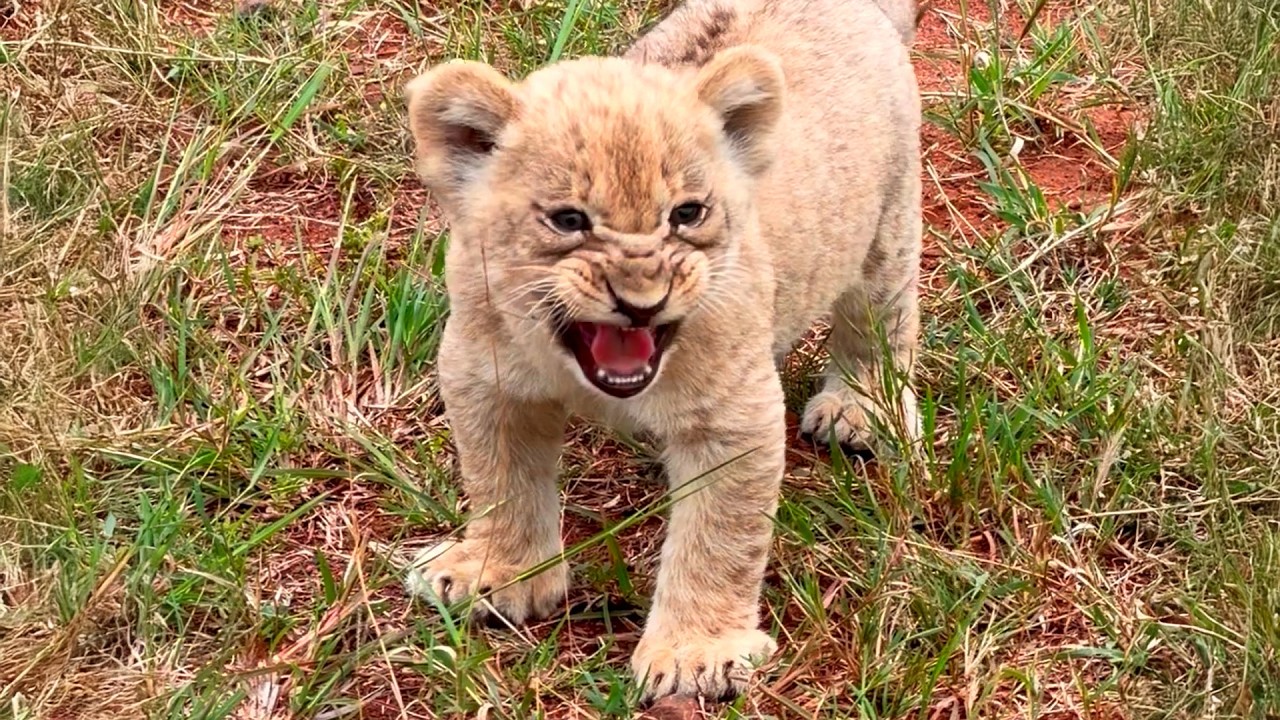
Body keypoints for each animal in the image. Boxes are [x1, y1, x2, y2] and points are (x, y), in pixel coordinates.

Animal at [401, 0, 921, 702]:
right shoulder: (485, 377)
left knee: (880, 321)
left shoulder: (731, 418)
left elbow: (719, 536)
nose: (641, 301)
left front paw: (695, 656)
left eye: (687, 213)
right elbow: (500, 480)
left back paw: (860, 410)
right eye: (569, 220)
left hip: (887, 230)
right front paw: (495, 571)